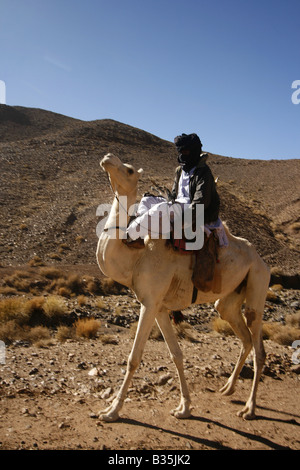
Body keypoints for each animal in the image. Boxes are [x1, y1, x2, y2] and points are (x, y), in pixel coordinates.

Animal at [96, 153, 270, 422]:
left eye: (129, 169)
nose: (107, 158)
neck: (136, 257)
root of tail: (261, 260)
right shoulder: (158, 307)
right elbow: (176, 354)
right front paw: (184, 407)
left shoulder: (150, 303)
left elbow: (134, 358)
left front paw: (112, 411)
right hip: (229, 301)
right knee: (244, 337)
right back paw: (228, 388)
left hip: (258, 282)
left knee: (259, 346)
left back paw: (249, 409)